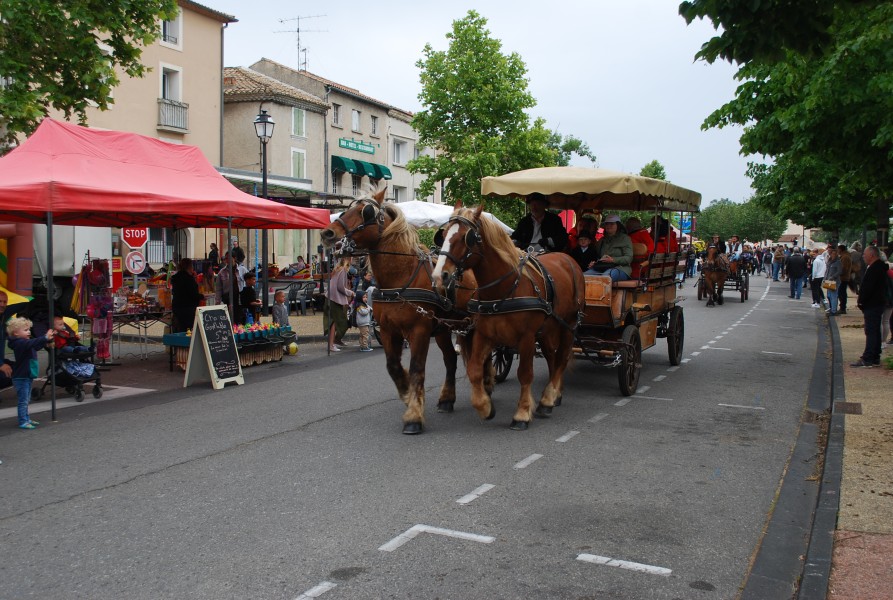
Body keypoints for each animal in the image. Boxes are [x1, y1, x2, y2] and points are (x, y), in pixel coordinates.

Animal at [318, 190, 492, 434]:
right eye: (347, 209)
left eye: (366, 212)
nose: (328, 232)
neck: (400, 278)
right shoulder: (389, 331)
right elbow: (393, 366)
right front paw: (408, 394)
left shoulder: (419, 331)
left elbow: (417, 368)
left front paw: (414, 416)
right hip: (443, 329)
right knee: (450, 359)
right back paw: (447, 399)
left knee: (484, 356)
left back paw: (487, 387)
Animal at [432, 206, 584, 432]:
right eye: (443, 236)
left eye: (466, 238)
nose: (438, 276)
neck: (504, 288)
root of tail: (568, 259)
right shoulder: (484, 335)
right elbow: (475, 369)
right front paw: (485, 407)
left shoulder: (527, 338)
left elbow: (525, 373)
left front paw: (522, 414)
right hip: (547, 329)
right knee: (552, 356)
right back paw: (554, 395)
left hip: (569, 325)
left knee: (562, 358)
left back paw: (548, 398)